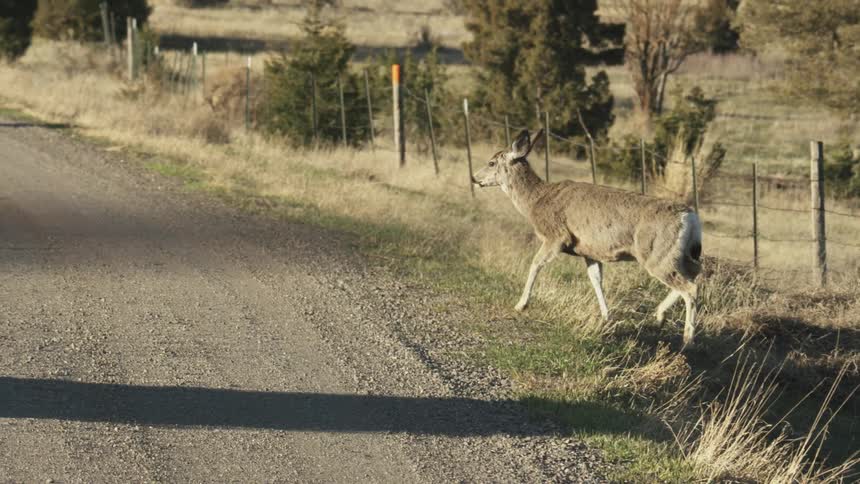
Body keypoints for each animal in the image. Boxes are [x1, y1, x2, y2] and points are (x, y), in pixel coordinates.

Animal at [472, 129, 703, 346]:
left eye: (491, 162)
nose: (474, 178)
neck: (536, 201)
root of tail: (690, 217)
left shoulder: (556, 236)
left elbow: (535, 263)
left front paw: (521, 305)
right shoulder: (589, 251)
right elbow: (596, 279)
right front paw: (606, 317)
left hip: (657, 254)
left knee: (690, 287)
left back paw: (688, 339)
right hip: (677, 255)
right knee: (692, 277)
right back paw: (660, 316)